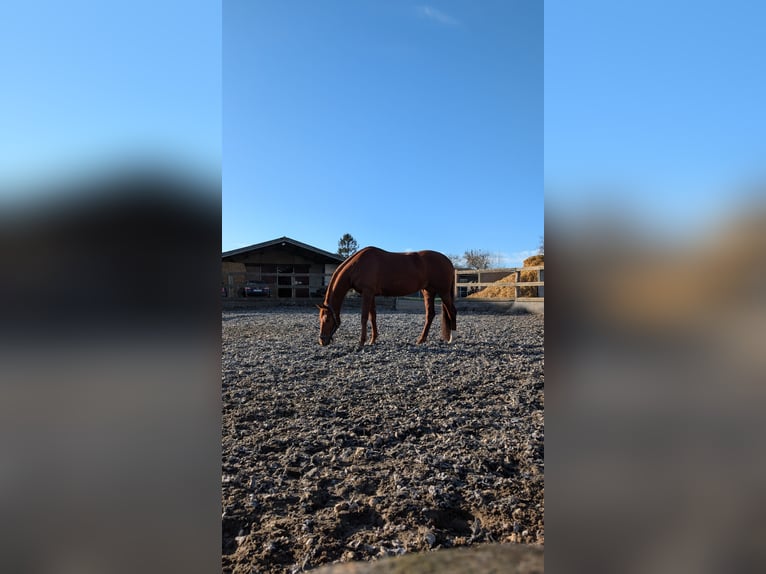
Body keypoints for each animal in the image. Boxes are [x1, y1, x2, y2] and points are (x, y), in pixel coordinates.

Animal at [317, 246, 457, 347]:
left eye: (327, 320)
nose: (322, 341)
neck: (358, 265)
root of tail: (448, 261)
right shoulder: (371, 294)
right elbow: (372, 317)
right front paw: (372, 340)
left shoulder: (367, 293)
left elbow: (364, 317)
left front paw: (362, 342)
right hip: (428, 292)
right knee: (430, 314)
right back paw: (421, 340)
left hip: (443, 292)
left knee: (452, 311)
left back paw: (452, 338)